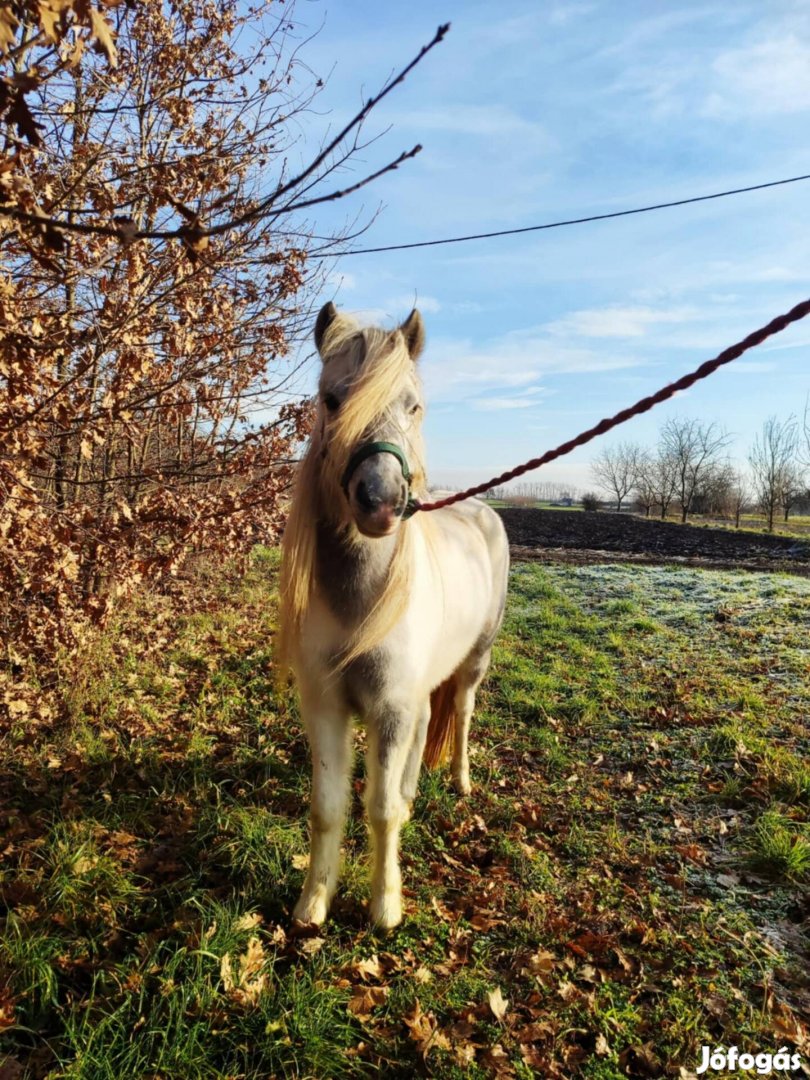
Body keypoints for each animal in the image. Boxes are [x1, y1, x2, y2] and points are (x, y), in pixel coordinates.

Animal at [278, 302, 507, 928]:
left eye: (413, 404)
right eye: (332, 399)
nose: (379, 502)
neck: (361, 600)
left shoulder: (390, 709)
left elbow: (378, 811)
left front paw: (385, 907)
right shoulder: (327, 706)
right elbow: (328, 806)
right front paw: (313, 903)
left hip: (472, 664)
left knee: (461, 714)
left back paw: (459, 781)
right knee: (429, 723)